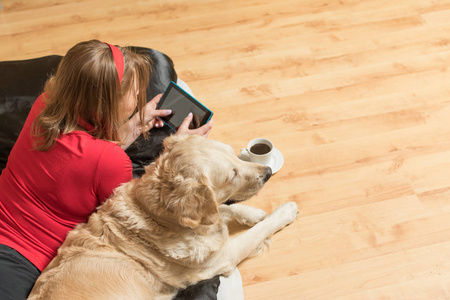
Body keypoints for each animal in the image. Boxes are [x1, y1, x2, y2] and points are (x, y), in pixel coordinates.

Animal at [28, 135, 298, 298]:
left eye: (234, 155)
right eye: (232, 175)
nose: (268, 172)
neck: (156, 218)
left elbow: (223, 210)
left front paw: (253, 213)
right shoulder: (222, 258)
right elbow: (256, 231)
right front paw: (284, 212)